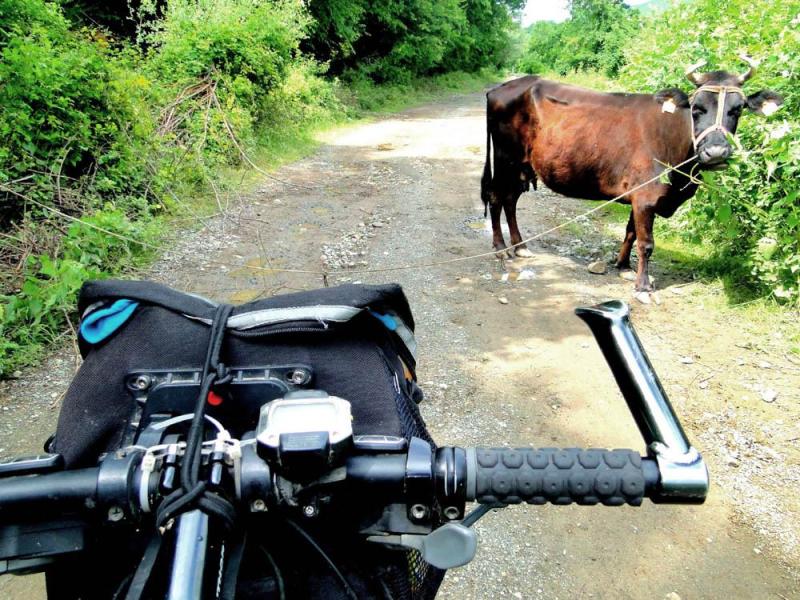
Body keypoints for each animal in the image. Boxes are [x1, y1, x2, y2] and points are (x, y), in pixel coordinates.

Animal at [482, 57, 780, 296]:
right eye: (696, 108)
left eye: (738, 108)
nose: (716, 152)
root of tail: (500, 88)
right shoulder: (646, 196)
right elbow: (646, 242)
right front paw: (643, 284)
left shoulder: (640, 195)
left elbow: (630, 232)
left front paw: (623, 265)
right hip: (505, 159)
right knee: (497, 198)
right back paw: (500, 247)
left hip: (522, 165)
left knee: (510, 200)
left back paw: (520, 246)